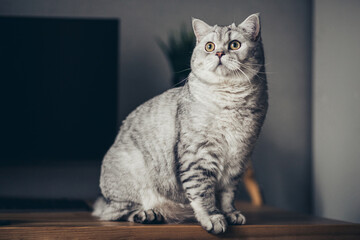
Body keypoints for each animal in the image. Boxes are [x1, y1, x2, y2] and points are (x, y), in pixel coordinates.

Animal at [93, 13, 268, 234]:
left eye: (235, 45)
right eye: (209, 46)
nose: (219, 53)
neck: (230, 103)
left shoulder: (239, 158)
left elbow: (228, 196)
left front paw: (230, 214)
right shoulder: (198, 154)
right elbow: (203, 193)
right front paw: (213, 218)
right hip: (129, 176)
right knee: (118, 213)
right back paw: (148, 214)